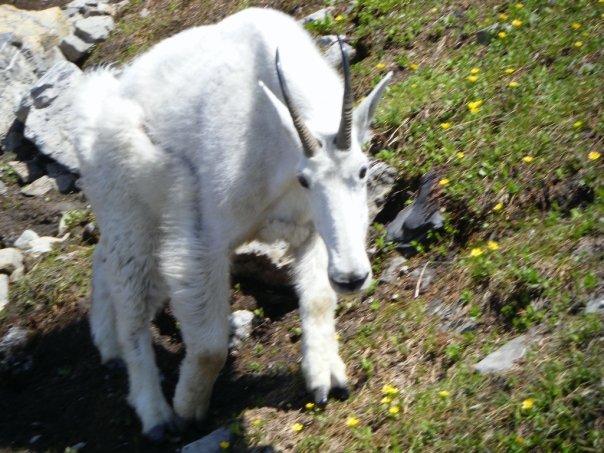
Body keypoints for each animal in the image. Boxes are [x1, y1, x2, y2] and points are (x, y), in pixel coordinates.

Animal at [72, 6, 392, 438]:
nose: (352, 278)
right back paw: (155, 414)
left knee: (102, 258)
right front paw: (189, 408)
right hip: (128, 209)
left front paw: (327, 379)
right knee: (132, 308)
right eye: (305, 179)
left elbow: (319, 299)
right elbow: (209, 345)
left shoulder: (313, 230)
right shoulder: (201, 239)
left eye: (362, 170)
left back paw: (108, 347)